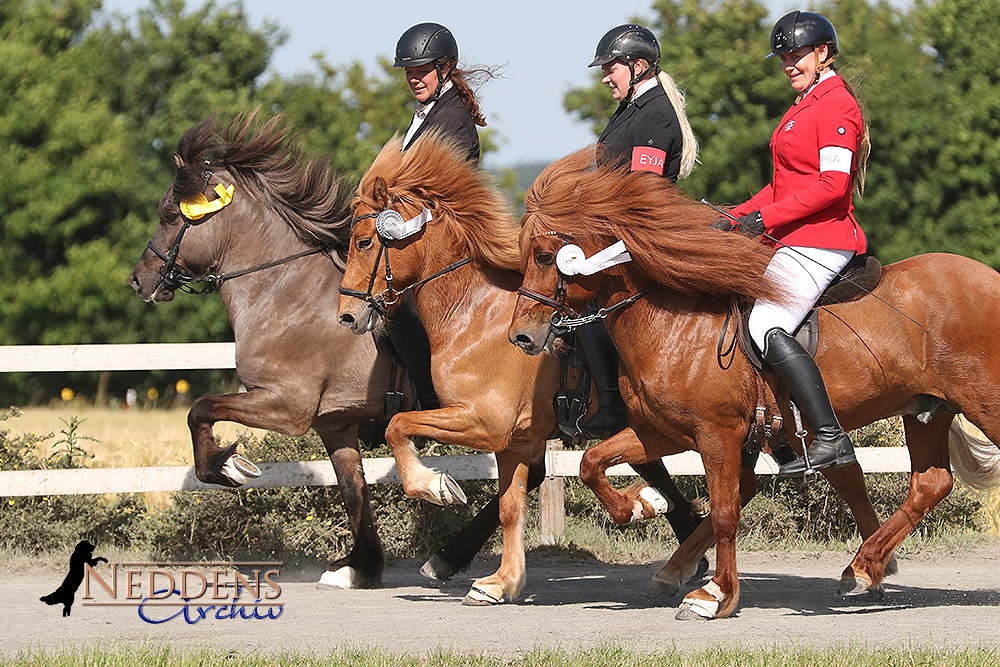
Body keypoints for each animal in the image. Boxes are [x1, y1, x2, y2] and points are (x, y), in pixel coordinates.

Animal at [129, 113, 552, 588]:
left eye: (169, 214)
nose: (139, 280)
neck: (284, 290)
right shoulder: (333, 421)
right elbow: (352, 488)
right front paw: (360, 565)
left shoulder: (286, 405)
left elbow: (200, 407)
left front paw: (227, 466)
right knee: (533, 471)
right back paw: (449, 556)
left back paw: (447, 556)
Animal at [340, 132, 708, 604]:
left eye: (364, 242)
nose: (347, 315)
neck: (474, 314)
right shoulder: (516, 439)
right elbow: (511, 505)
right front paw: (503, 581)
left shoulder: (484, 422)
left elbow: (398, 425)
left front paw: (435, 486)